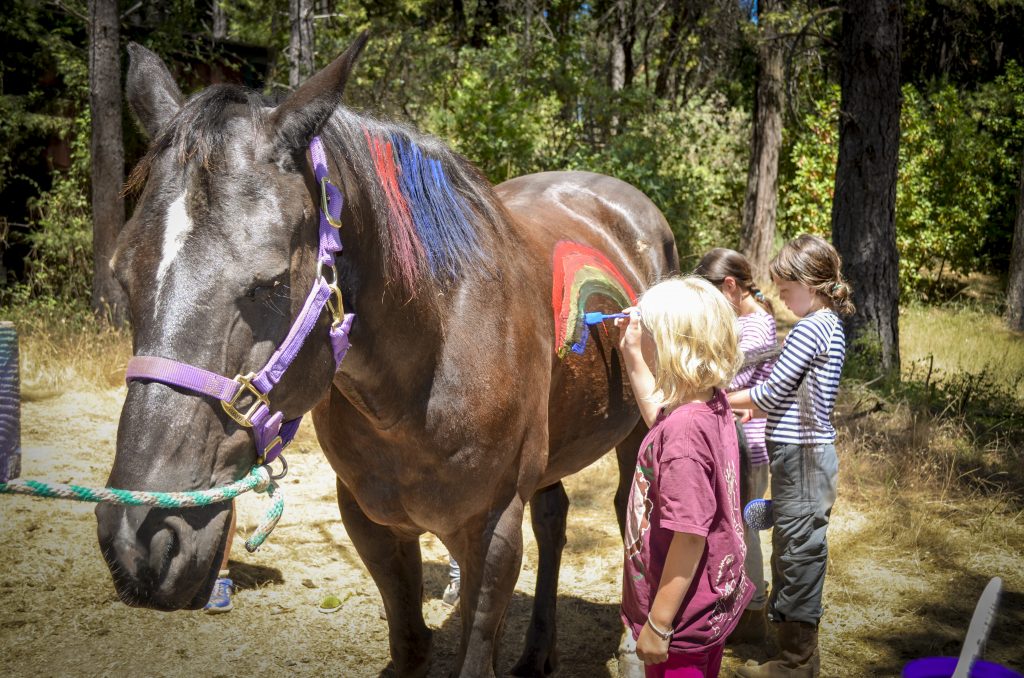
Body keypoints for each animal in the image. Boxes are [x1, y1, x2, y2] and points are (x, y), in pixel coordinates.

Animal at [96, 35, 681, 677]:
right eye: (122, 275)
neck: (424, 374)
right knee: (554, 521)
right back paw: (535, 654)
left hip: (639, 427)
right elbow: (410, 642)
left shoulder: (493, 531)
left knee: (629, 511)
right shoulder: (370, 524)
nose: (141, 540)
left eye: (269, 284)